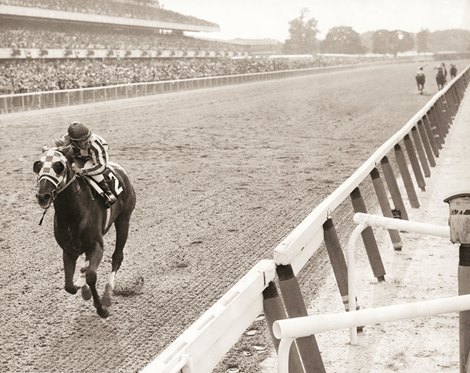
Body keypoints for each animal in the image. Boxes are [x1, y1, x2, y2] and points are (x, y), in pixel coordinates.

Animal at [32, 146, 136, 316]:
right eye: (38, 165)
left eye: (59, 166)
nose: (43, 196)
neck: (72, 213)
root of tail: (120, 169)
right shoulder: (68, 250)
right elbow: (69, 286)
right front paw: (82, 288)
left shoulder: (96, 246)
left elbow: (91, 276)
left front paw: (101, 309)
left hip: (124, 219)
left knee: (117, 257)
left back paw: (107, 294)